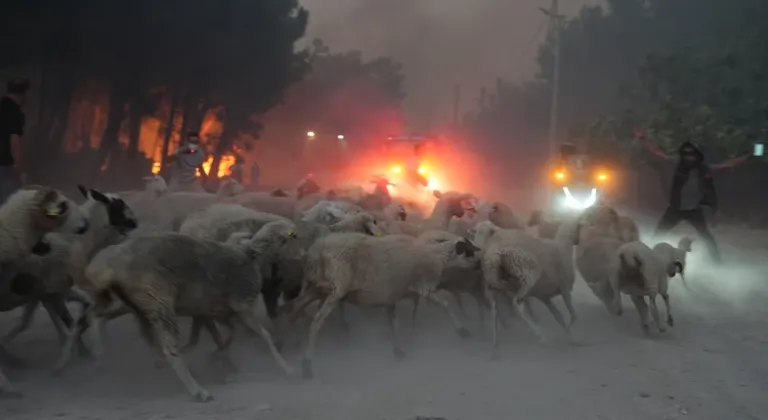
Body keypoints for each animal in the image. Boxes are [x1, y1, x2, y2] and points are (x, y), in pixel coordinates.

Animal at [54, 220, 298, 400]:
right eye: (291, 234)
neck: (251, 255)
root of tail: (109, 264)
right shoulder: (241, 305)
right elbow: (262, 335)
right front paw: (286, 368)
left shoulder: (215, 311)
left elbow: (222, 336)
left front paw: (222, 360)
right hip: (158, 303)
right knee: (168, 350)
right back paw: (198, 391)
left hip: (133, 305)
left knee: (94, 317)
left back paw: (91, 354)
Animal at [288, 231, 480, 378]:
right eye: (468, 251)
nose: (479, 264)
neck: (436, 256)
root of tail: (314, 252)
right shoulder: (424, 289)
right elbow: (445, 305)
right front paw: (462, 331)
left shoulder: (392, 295)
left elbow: (395, 321)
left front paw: (399, 349)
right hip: (336, 289)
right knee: (316, 322)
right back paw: (307, 365)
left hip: (316, 288)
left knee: (294, 308)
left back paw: (291, 344)